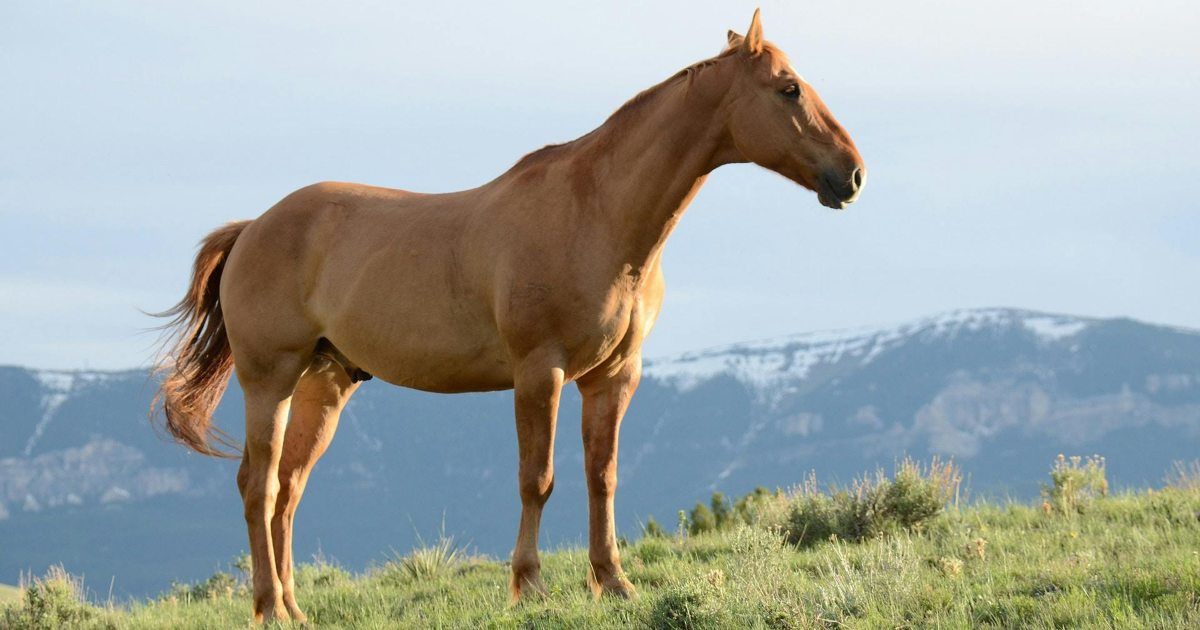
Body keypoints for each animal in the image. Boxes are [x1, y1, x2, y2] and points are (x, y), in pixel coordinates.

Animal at [152, 8, 864, 619]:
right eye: (788, 89)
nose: (852, 174)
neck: (596, 214)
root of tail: (253, 228)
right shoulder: (538, 372)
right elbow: (537, 479)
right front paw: (530, 586)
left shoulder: (613, 377)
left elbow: (602, 476)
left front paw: (613, 582)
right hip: (269, 378)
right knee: (259, 485)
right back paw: (270, 608)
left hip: (324, 384)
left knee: (289, 491)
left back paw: (295, 608)